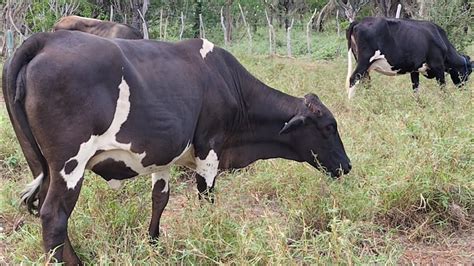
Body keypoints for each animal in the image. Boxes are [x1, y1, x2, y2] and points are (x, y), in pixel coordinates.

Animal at [2, 31, 352, 264]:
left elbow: (160, 199)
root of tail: (48, 39)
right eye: (328, 127)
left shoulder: (164, 156)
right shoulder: (210, 147)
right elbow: (206, 198)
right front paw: (211, 237)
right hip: (69, 164)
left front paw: (154, 243)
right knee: (54, 216)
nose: (347, 166)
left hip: (44, 166)